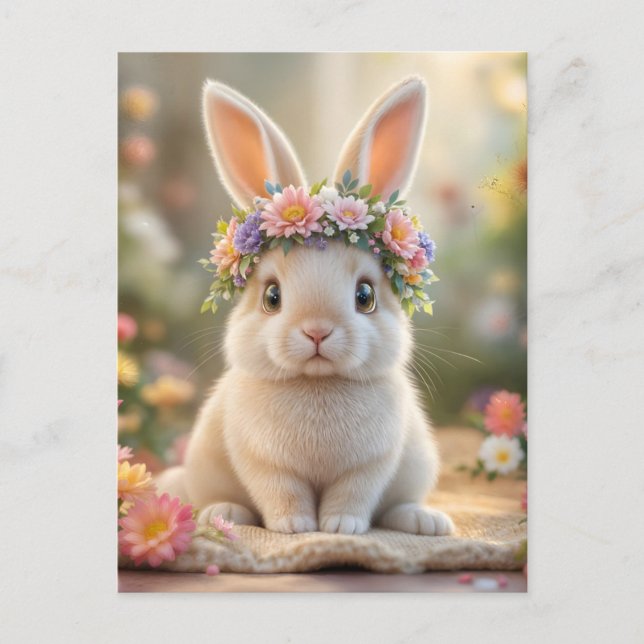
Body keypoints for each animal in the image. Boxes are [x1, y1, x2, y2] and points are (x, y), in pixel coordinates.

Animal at [156, 76, 454, 536]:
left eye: (365, 296)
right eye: (271, 297)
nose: (317, 331)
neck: (316, 383)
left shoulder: (370, 466)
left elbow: (353, 495)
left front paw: (341, 528)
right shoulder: (264, 464)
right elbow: (282, 492)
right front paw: (295, 526)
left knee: (396, 507)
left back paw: (426, 521)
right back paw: (224, 512)